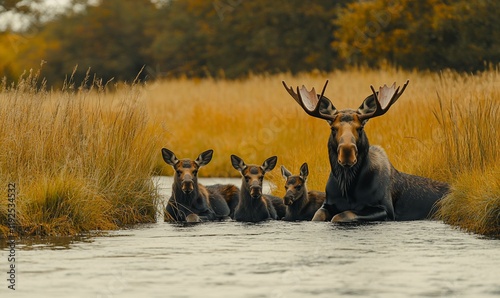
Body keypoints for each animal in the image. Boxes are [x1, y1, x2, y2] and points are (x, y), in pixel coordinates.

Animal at [284, 80, 452, 222]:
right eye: (333, 128)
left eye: (360, 128)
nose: (347, 153)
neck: (348, 189)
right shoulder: (327, 204)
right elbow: (317, 217)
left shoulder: (386, 210)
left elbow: (342, 215)